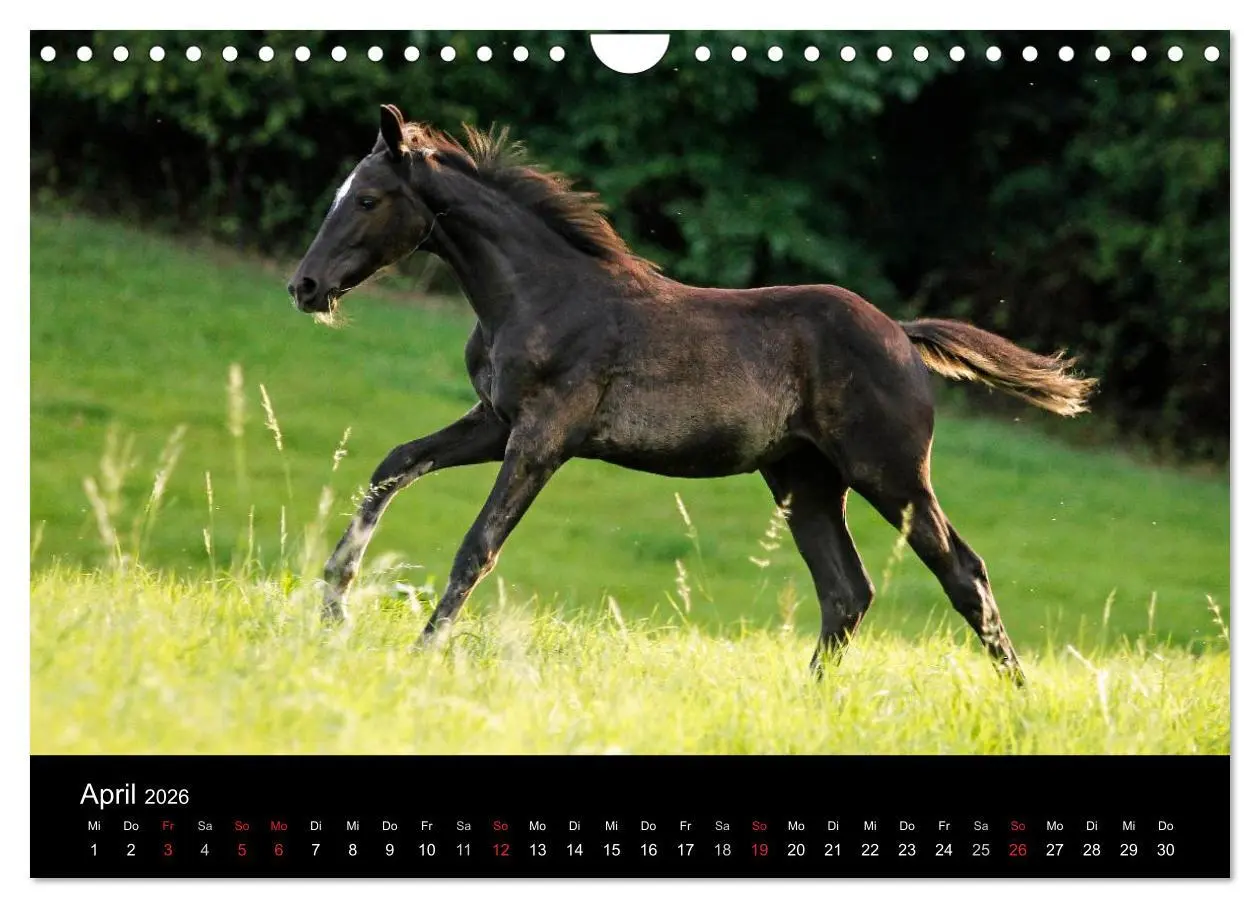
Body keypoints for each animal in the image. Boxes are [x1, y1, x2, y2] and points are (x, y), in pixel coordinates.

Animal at [287, 104, 1097, 683]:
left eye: (368, 199)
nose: (304, 285)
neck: (534, 295)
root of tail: (901, 333)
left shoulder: (543, 435)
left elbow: (477, 545)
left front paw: (420, 654)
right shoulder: (495, 421)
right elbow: (394, 463)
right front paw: (333, 604)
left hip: (888, 473)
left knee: (963, 572)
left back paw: (1021, 701)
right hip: (803, 478)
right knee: (847, 590)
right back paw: (808, 700)